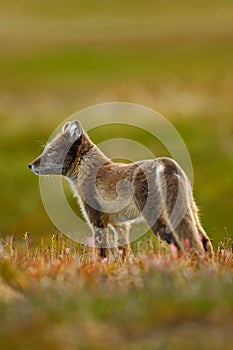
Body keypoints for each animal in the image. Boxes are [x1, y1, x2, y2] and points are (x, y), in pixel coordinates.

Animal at [28, 121, 213, 258]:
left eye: (50, 151)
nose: (30, 165)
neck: (88, 170)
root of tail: (164, 161)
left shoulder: (97, 222)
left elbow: (102, 254)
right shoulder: (120, 226)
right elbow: (123, 254)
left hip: (157, 220)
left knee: (180, 245)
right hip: (190, 212)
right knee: (204, 241)